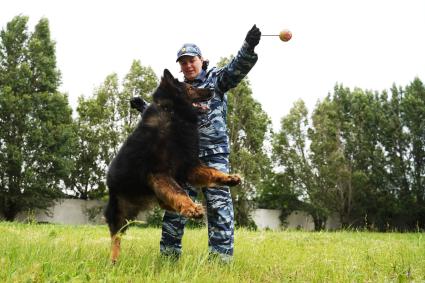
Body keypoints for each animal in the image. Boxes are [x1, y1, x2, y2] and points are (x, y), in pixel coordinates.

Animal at [104, 69, 240, 264]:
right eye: (190, 88)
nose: (213, 90)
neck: (173, 113)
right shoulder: (159, 173)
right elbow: (178, 191)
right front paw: (191, 208)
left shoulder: (189, 167)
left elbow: (211, 171)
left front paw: (228, 178)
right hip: (119, 214)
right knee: (116, 237)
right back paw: (114, 260)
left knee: (163, 203)